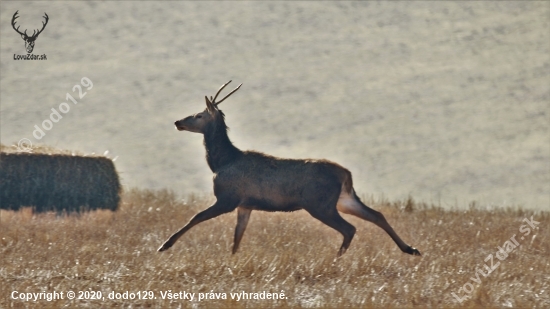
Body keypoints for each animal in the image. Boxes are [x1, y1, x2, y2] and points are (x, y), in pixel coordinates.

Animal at [160, 80, 422, 256]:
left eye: (199, 114)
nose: (178, 122)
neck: (221, 162)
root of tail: (347, 174)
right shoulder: (245, 204)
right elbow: (237, 237)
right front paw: (232, 259)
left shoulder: (228, 198)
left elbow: (196, 217)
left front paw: (165, 244)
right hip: (343, 199)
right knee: (376, 215)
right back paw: (410, 249)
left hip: (319, 203)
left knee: (349, 228)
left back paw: (336, 259)